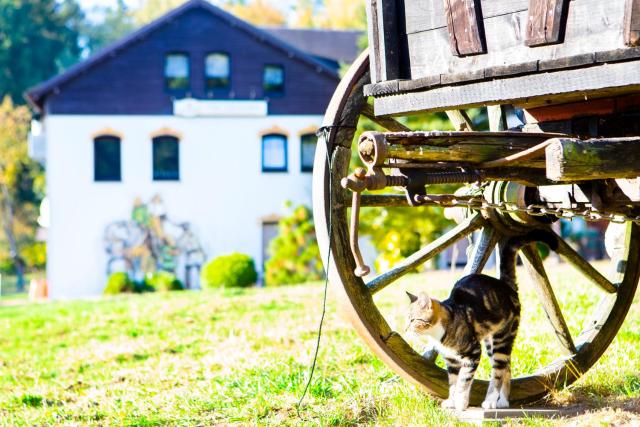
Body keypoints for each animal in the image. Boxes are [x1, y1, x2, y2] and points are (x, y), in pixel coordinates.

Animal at [408, 231, 556, 412]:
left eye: (413, 319)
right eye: (407, 319)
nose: (405, 329)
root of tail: (506, 285)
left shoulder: (473, 353)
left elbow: (463, 381)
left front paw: (461, 403)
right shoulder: (451, 361)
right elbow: (452, 382)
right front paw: (452, 400)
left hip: (502, 337)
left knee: (498, 370)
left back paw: (491, 401)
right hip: (490, 342)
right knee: (506, 366)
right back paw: (503, 401)